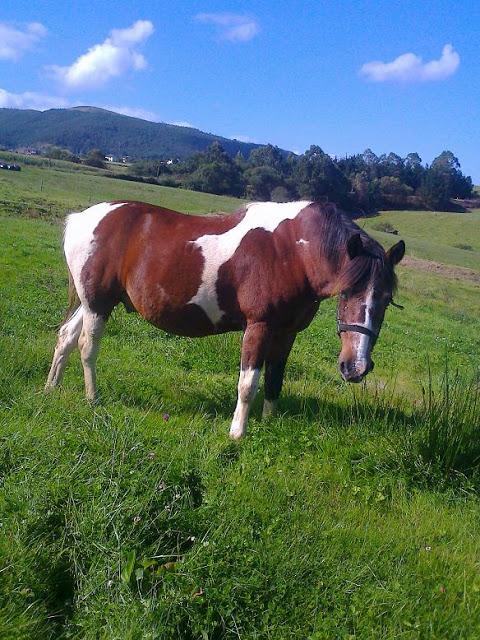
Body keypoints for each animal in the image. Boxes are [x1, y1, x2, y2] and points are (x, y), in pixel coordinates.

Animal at [45, 200, 405, 439]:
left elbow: (274, 380)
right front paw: (237, 433)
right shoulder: (259, 327)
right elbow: (248, 383)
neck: (291, 252)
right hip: (99, 304)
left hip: (90, 303)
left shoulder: (287, 333)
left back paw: (52, 387)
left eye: (386, 299)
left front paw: (269, 422)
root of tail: (80, 219)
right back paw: (93, 399)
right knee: (86, 346)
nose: (355, 367)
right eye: (348, 292)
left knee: (65, 338)